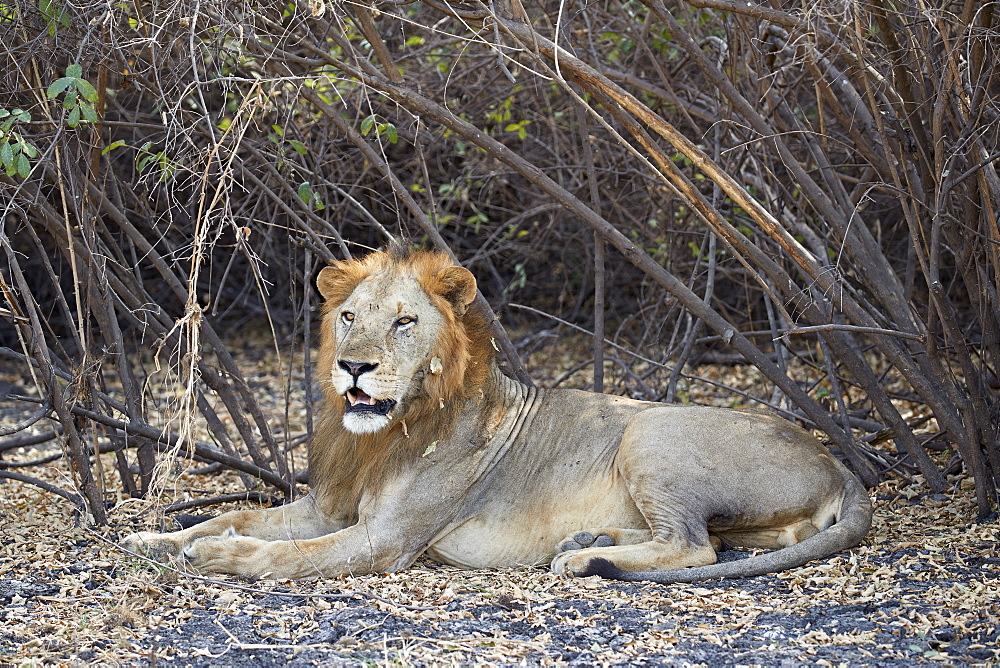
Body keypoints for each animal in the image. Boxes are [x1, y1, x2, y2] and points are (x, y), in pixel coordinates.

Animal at [121, 248, 872, 580]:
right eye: (349, 317)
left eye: (404, 322)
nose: (353, 367)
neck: (383, 435)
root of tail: (835, 460)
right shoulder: (328, 507)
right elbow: (241, 515)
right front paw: (156, 538)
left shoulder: (385, 540)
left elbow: (282, 551)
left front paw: (214, 553)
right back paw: (592, 541)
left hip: (651, 431)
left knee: (696, 545)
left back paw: (583, 560)